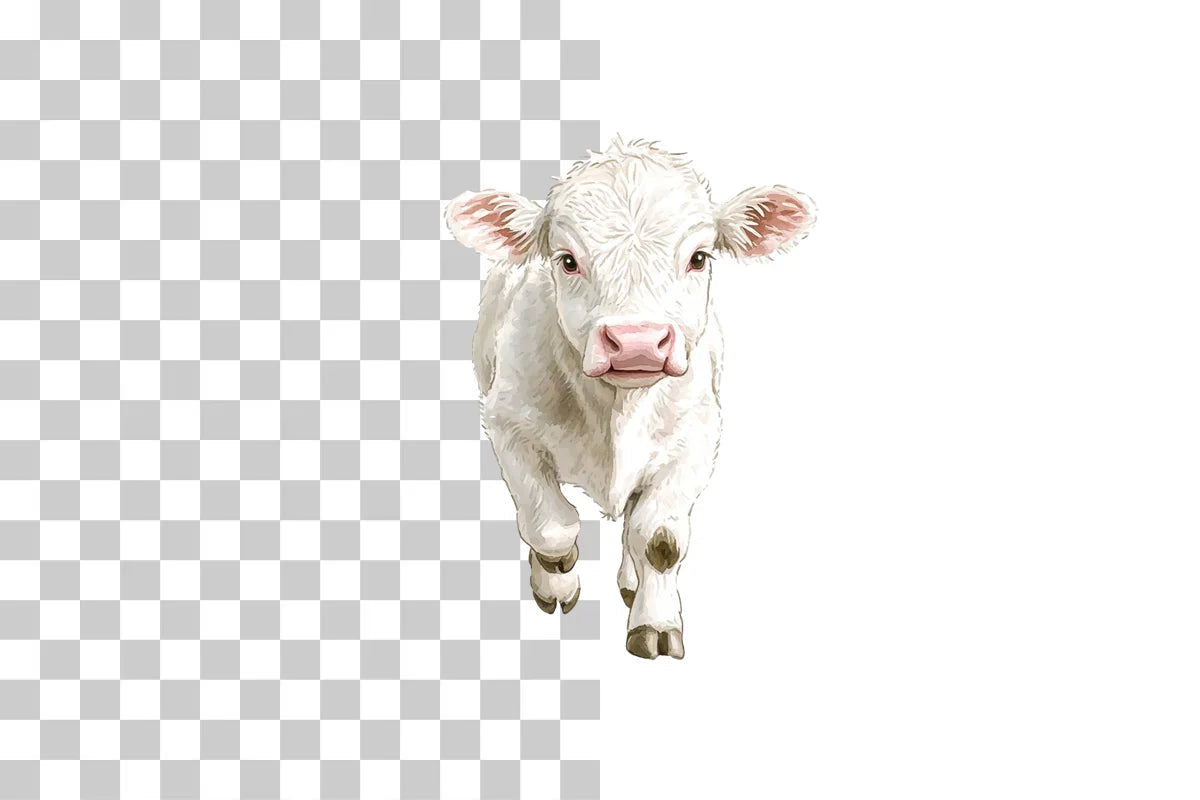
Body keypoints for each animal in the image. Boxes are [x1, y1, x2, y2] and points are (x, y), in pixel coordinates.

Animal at [444, 137, 817, 659]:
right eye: (567, 259)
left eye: (699, 257)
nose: (637, 341)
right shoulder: (507, 425)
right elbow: (550, 527)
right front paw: (556, 580)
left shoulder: (697, 441)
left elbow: (659, 540)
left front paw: (655, 623)